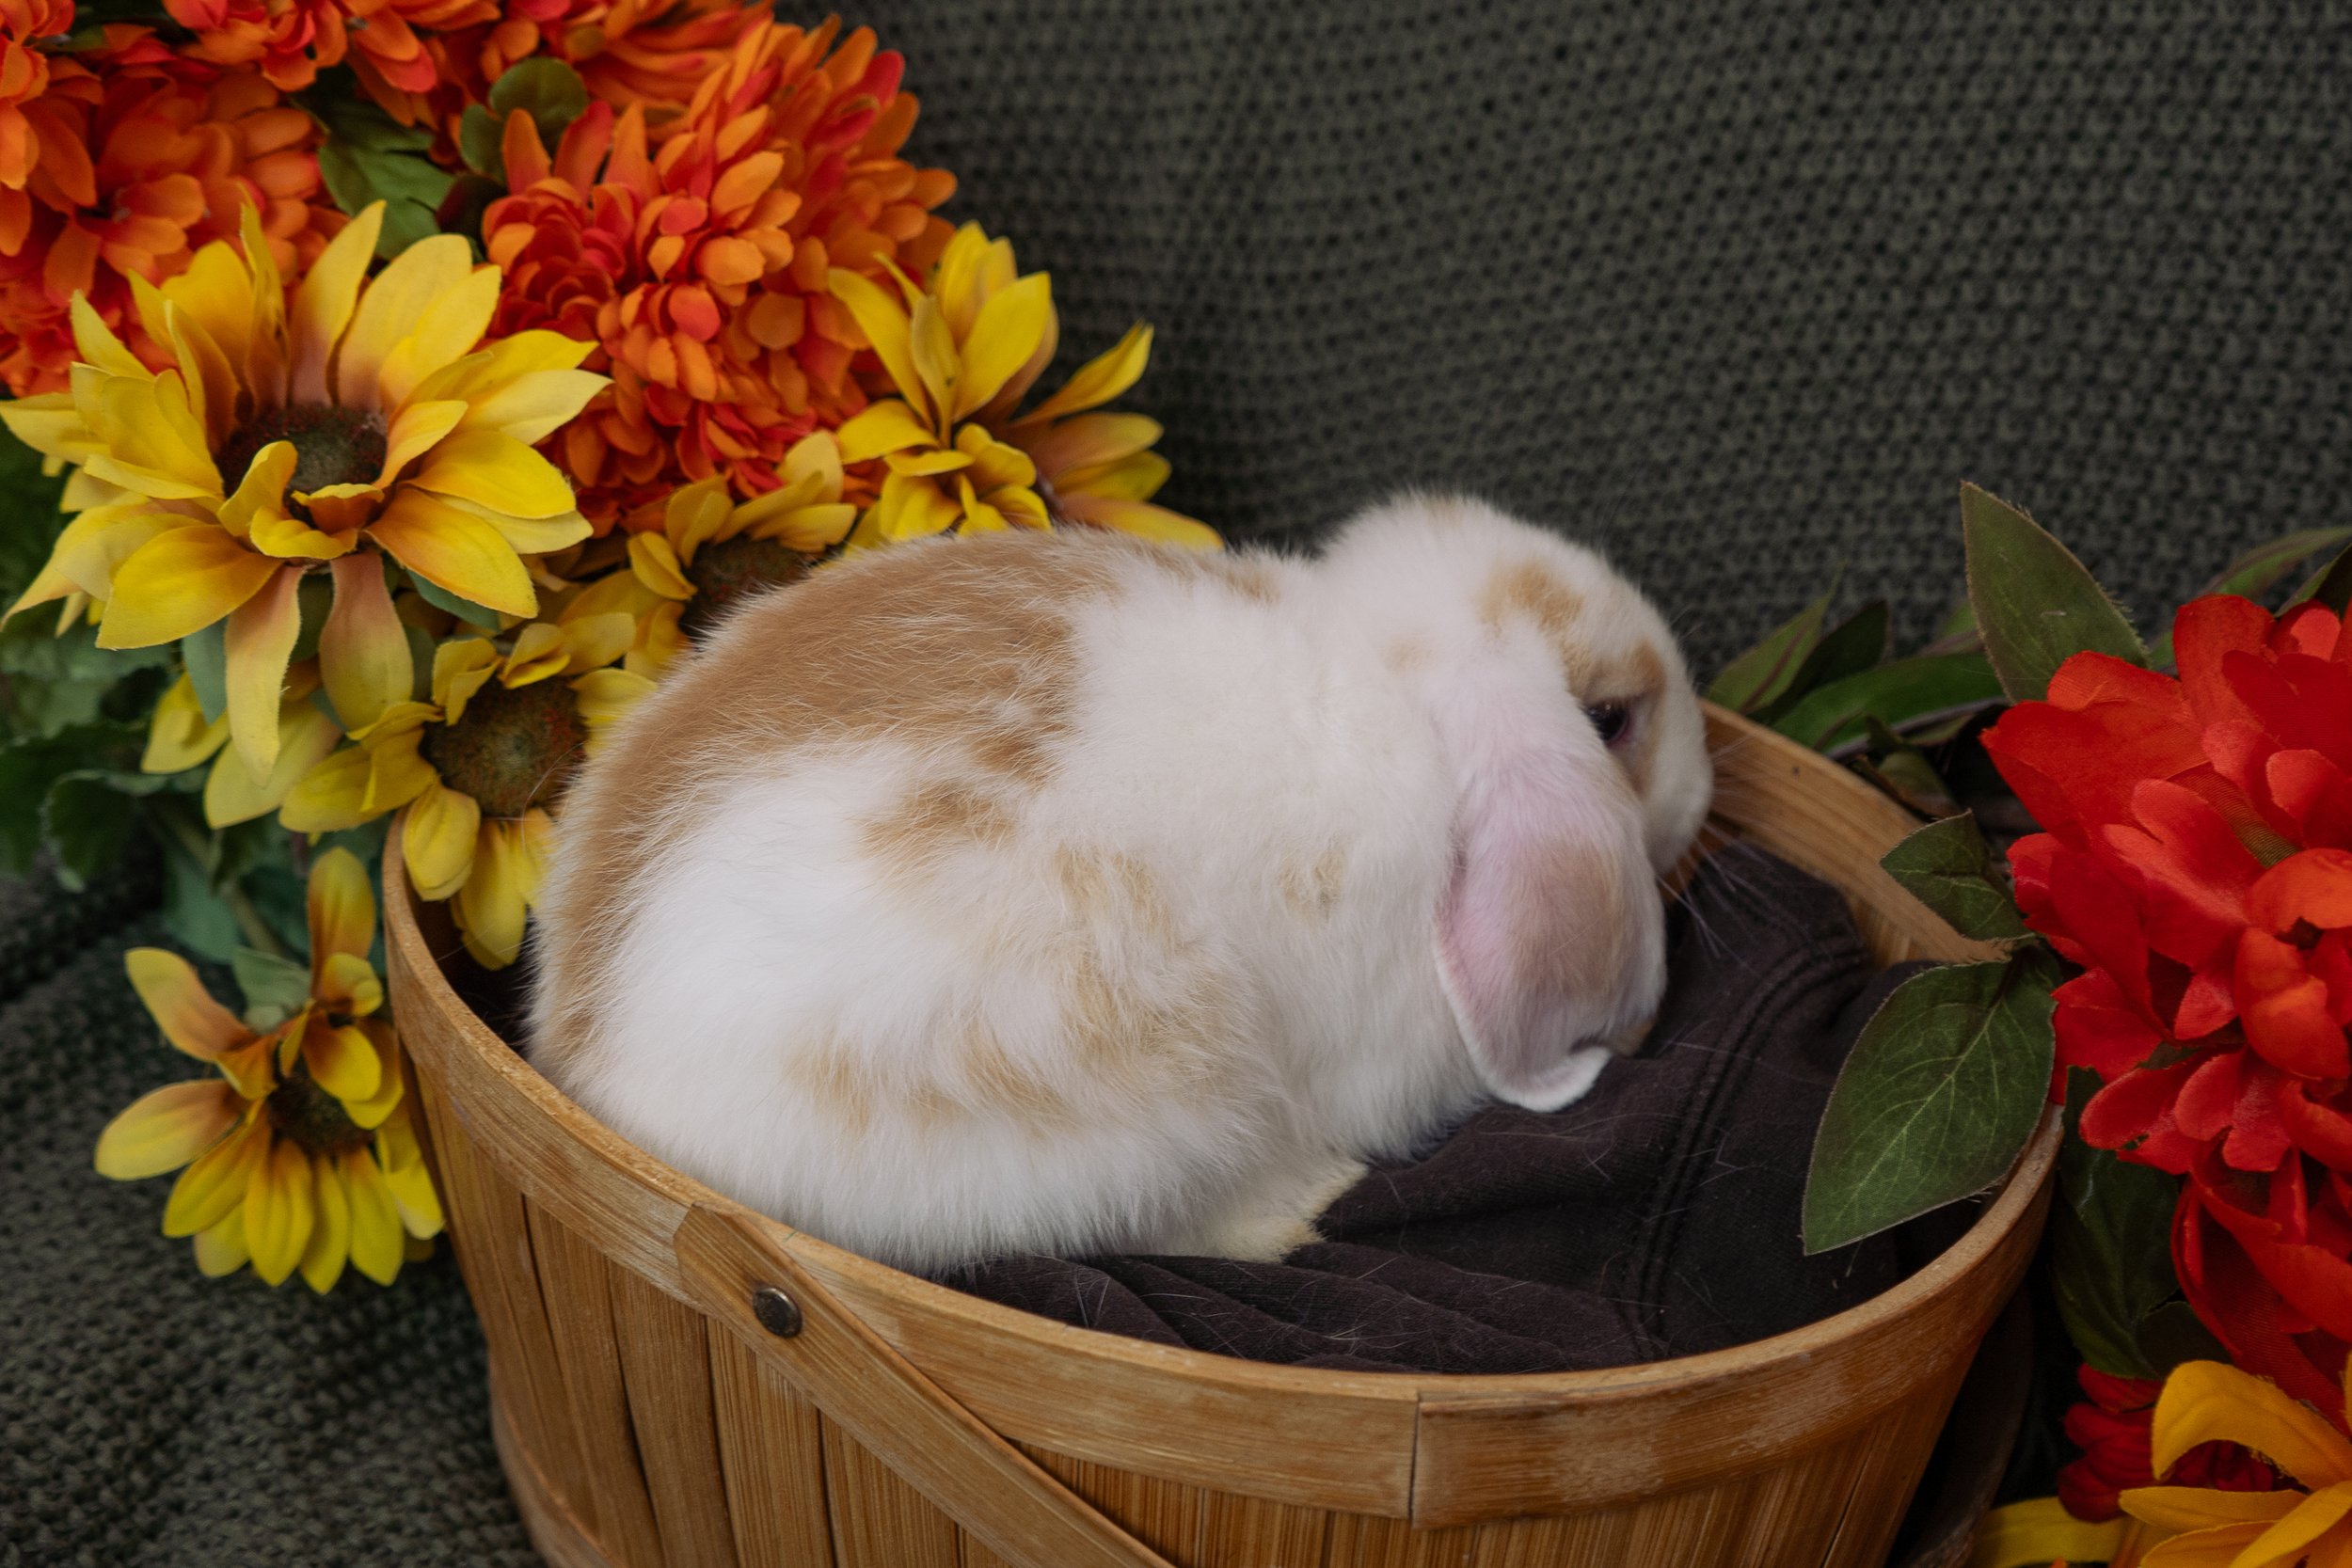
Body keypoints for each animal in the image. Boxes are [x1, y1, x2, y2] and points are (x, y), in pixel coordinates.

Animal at [528, 494, 1713, 1273]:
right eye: (1611, 719)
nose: (1706, 789)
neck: (1397, 685)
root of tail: (593, 1059)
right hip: (1149, 1102)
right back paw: (1302, 1198)